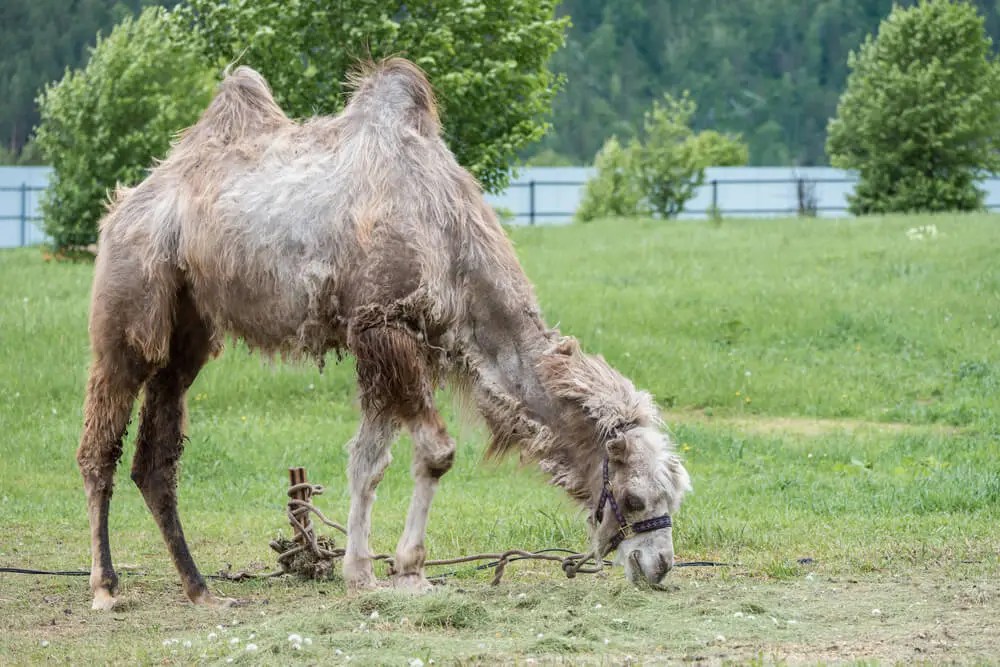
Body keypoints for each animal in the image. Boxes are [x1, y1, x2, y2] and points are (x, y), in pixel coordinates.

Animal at [77, 58, 691, 610]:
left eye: (674, 495)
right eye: (635, 498)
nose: (659, 565)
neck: (447, 233)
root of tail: (122, 208)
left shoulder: (393, 341)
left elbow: (366, 460)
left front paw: (359, 572)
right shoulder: (383, 325)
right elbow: (435, 453)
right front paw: (409, 570)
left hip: (189, 329)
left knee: (156, 459)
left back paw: (201, 590)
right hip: (127, 306)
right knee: (101, 447)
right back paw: (106, 588)